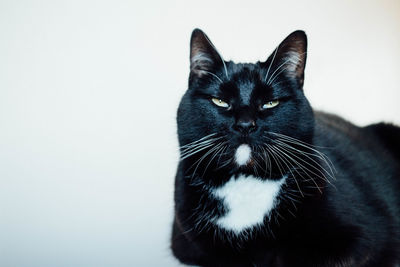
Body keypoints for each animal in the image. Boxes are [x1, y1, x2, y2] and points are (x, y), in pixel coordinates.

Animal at [170, 29, 400, 267]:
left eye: (270, 103)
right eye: (220, 101)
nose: (245, 124)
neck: (246, 181)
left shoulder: (362, 241)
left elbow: (298, 256)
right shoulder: (187, 245)